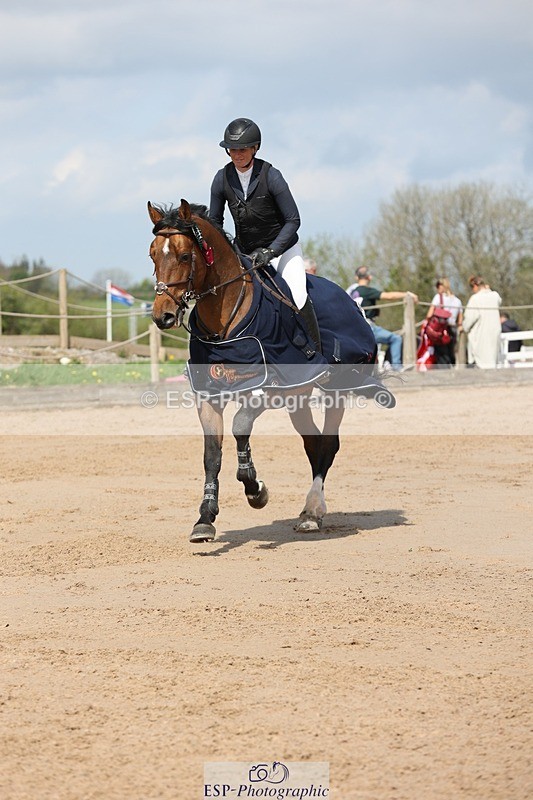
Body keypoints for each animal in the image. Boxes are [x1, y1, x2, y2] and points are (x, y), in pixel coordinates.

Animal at [148, 199, 393, 543]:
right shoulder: (209, 394)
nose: (163, 316)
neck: (224, 322)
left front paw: (255, 489)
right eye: (153, 255)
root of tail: (351, 302)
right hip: (298, 397)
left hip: (336, 389)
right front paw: (205, 519)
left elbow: (240, 426)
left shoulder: (269, 388)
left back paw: (313, 511)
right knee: (313, 443)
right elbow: (212, 454)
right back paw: (309, 511)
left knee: (328, 443)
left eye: (185, 256)